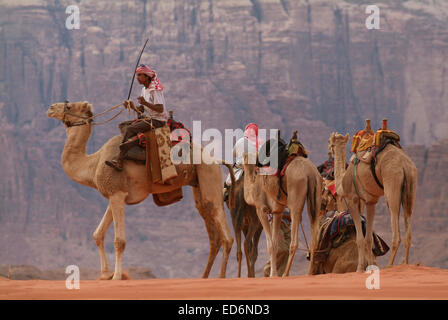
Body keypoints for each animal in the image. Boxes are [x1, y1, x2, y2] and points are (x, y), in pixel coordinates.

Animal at [46, 101, 236, 278]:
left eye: (69, 106)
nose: (50, 108)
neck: (94, 163)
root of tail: (216, 160)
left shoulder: (117, 193)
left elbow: (119, 241)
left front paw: (116, 277)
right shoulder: (115, 194)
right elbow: (97, 234)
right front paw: (105, 275)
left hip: (209, 174)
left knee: (225, 232)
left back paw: (221, 276)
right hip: (199, 185)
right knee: (213, 234)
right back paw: (204, 277)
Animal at [242, 147, 322, 276]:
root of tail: (310, 172)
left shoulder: (261, 209)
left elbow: (270, 245)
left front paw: (273, 274)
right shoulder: (277, 212)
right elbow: (275, 244)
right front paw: (273, 274)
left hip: (295, 195)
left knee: (294, 241)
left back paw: (285, 274)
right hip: (316, 194)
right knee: (314, 238)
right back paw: (309, 273)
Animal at [328, 129, 418, 272]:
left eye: (330, 141)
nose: (329, 149)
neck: (342, 183)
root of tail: (404, 164)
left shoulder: (352, 198)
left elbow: (360, 238)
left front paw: (359, 268)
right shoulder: (371, 201)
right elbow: (368, 238)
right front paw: (370, 267)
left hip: (392, 182)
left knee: (395, 231)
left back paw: (389, 266)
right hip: (411, 186)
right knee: (408, 228)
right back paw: (406, 265)